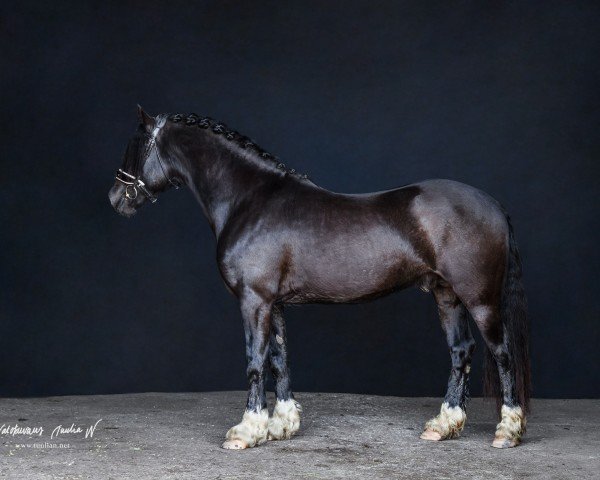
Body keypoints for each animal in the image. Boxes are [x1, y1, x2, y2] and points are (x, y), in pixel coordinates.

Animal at [108, 108, 528, 450]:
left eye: (136, 146)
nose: (115, 198)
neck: (249, 199)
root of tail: (493, 205)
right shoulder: (273, 303)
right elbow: (279, 359)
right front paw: (281, 426)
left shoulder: (254, 300)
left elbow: (255, 361)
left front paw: (246, 431)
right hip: (446, 295)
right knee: (461, 351)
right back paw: (443, 425)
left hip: (480, 299)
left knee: (502, 354)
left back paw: (507, 432)